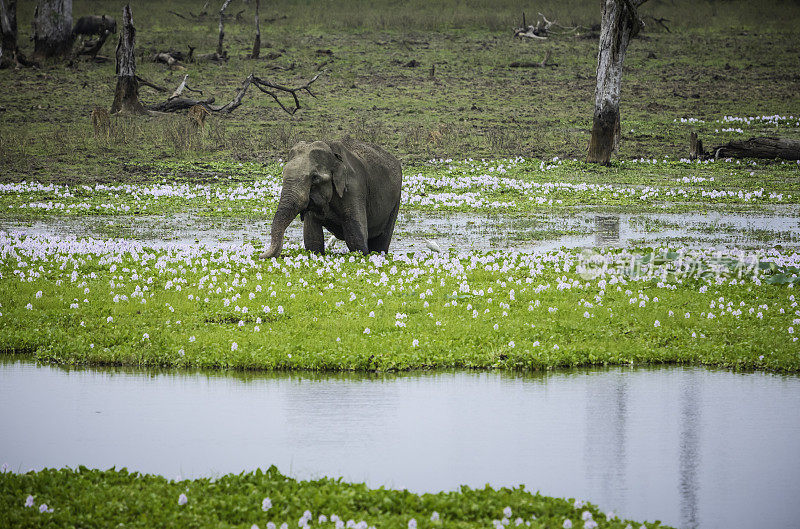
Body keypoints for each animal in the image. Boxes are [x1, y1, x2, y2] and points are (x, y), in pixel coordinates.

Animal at [260, 137, 404, 258]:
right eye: (283, 173)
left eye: (314, 177)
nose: (261, 255)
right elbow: (312, 238)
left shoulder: (354, 189)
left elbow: (356, 237)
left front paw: (362, 255)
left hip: (396, 201)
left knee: (382, 240)